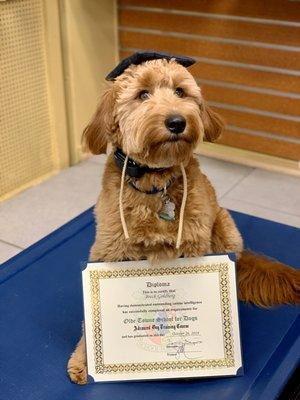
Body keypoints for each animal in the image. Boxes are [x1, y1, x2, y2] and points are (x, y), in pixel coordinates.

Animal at [68, 51, 300, 382]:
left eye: (180, 91)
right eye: (142, 94)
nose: (177, 121)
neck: (154, 183)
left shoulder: (193, 247)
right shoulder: (107, 251)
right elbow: (88, 318)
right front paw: (84, 359)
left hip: (226, 228)